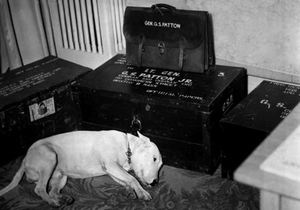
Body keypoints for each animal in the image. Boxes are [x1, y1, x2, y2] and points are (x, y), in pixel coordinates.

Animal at [0, 130, 163, 207]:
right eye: (154, 159)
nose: (155, 183)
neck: (127, 147)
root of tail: (25, 159)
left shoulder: (112, 170)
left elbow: (125, 180)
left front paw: (129, 191)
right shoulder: (111, 165)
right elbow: (132, 178)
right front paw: (142, 193)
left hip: (61, 176)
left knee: (51, 190)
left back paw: (63, 199)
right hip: (49, 157)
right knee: (39, 189)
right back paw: (52, 202)